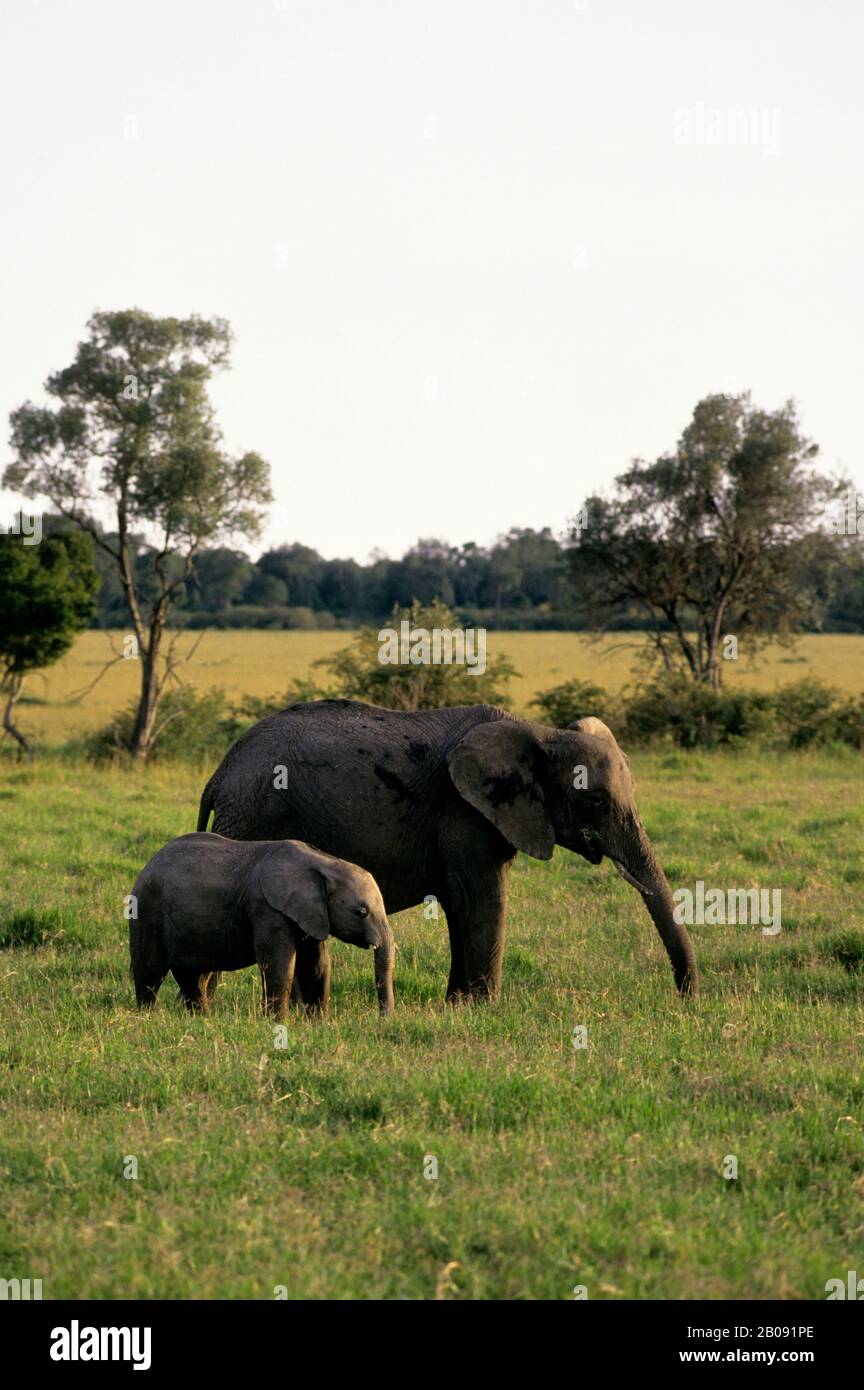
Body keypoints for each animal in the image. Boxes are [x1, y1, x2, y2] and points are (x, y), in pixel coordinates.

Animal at [129, 832, 394, 1018]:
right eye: (361, 912)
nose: (383, 1019)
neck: (323, 862)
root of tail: (147, 864)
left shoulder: (312, 914)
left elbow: (317, 965)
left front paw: (318, 1024)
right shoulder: (267, 908)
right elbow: (280, 964)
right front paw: (277, 1023)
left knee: (194, 976)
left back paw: (202, 1018)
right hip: (147, 911)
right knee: (149, 973)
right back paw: (146, 1017)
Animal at [196, 699, 698, 1005]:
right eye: (593, 802)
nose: (684, 998)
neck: (540, 733)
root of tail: (220, 773)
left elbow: (462, 907)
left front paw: (456, 1006)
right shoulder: (464, 813)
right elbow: (482, 901)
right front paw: (484, 1009)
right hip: (253, 815)